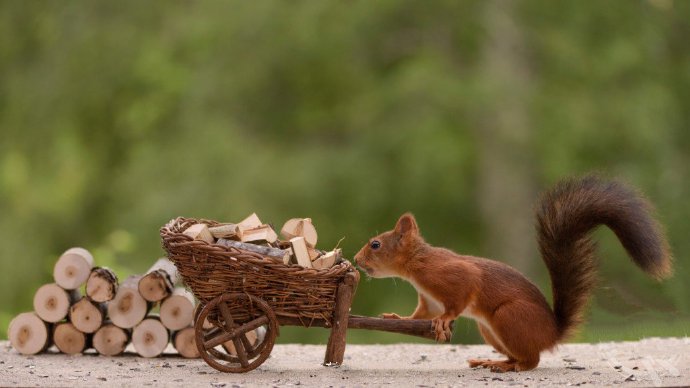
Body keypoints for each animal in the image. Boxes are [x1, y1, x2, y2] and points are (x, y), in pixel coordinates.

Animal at [354, 176, 672, 372]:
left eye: (375, 244)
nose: (356, 260)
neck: (417, 266)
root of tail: (552, 333)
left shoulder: (451, 275)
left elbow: (460, 296)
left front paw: (444, 321)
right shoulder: (429, 299)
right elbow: (420, 315)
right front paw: (398, 318)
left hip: (509, 317)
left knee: (532, 360)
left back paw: (512, 366)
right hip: (490, 330)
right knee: (516, 354)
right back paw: (493, 362)